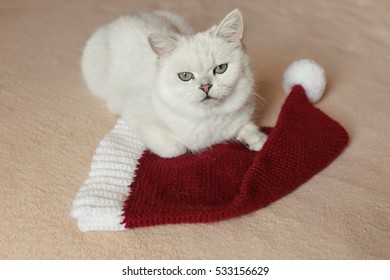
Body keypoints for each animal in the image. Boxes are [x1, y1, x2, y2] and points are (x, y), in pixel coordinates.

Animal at [80, 8, 266, 158]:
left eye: (221, 68)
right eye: (185, 76)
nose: (206, 87)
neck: (209, 117)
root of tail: (122, 18)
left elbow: (248, 128)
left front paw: (257, 140)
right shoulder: (137, 117)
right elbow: (177, 148)